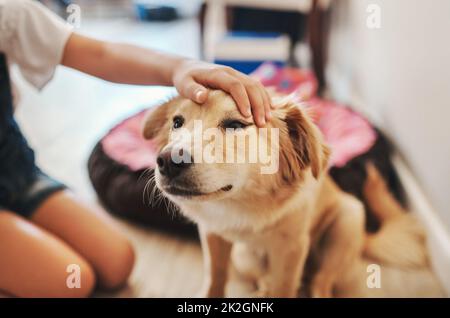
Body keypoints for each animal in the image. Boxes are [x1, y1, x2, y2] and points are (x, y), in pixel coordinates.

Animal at [143, 90, 442, 298]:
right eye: (177, 122)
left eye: (236, 125)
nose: (167, 161)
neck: (244, 205)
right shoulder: (212, 234)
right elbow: (215, 276)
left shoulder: (292, 248)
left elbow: (284, 287)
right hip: (243, 256)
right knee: (267, 279)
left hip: (347, 220)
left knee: (321, 284)